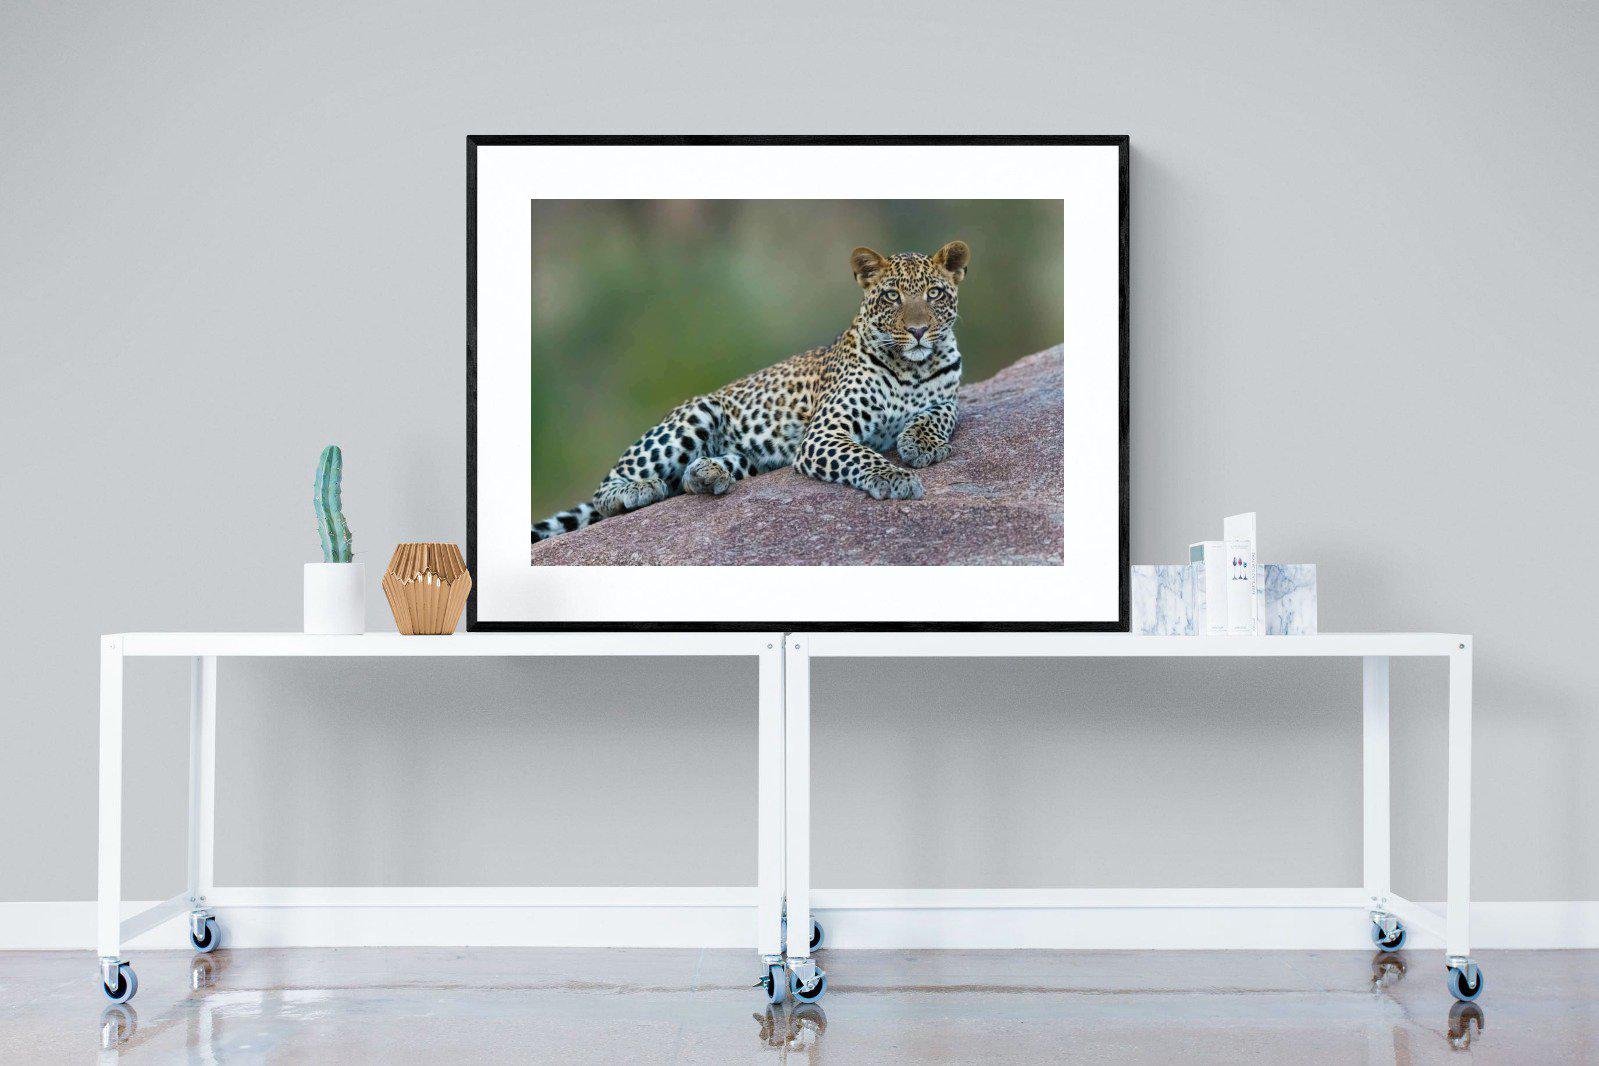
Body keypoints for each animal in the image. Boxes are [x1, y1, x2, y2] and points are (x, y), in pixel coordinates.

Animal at [531, 240, 970, 544]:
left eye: (933, 293)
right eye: (892, 296)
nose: (918, 330)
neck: (912, 366)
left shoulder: (948, 398)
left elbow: (939, 415)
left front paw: (920, 443)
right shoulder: (825, 433)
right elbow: (861, 455)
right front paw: (895, 477)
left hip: (752, 457)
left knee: (692, 478)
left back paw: (707, 474)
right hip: (695, 415)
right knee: (606, 490)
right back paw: (639, 489)